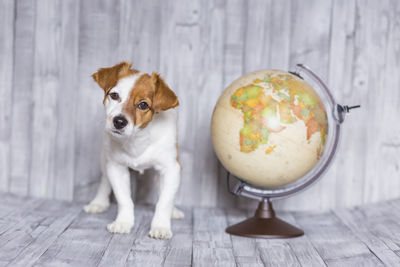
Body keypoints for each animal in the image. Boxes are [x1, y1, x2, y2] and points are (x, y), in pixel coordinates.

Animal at [85, 61, 185, 240]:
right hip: (104, 158)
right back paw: (98, 202)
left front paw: (160, 225)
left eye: (143, 105)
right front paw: (123, 222)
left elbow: (164, 201)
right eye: (114, 95)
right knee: (104, 180)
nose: (119, 122)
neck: (137, 138)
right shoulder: (116, 167)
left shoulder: (171, 168)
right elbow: (124, 199)